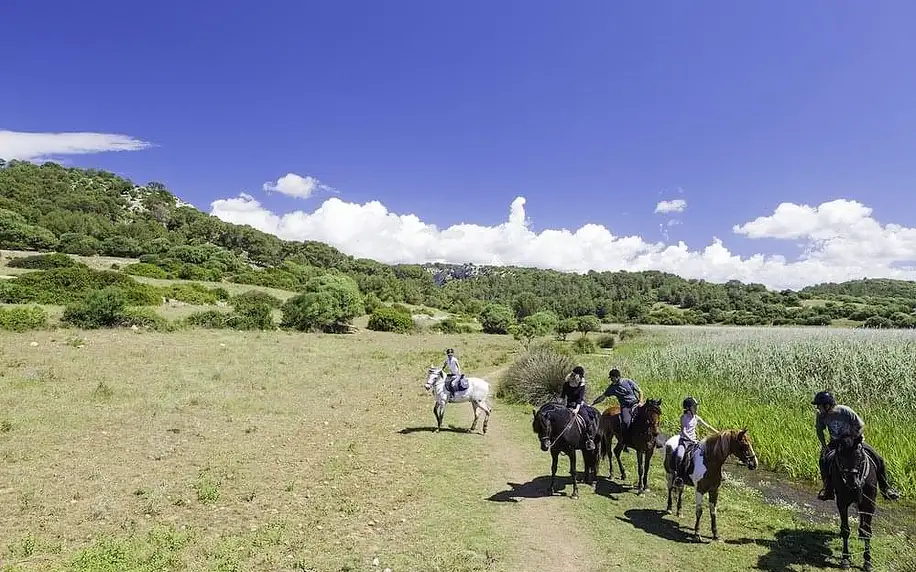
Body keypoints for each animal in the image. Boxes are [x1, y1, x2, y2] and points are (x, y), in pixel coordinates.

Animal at [832, 436, 880, 568]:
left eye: (859, 456)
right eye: (841, 455)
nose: (851, 482)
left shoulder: (870, 503)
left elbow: (868, 531)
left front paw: (867, 561)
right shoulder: (842, 502)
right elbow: (845, 530)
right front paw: (845, 559)